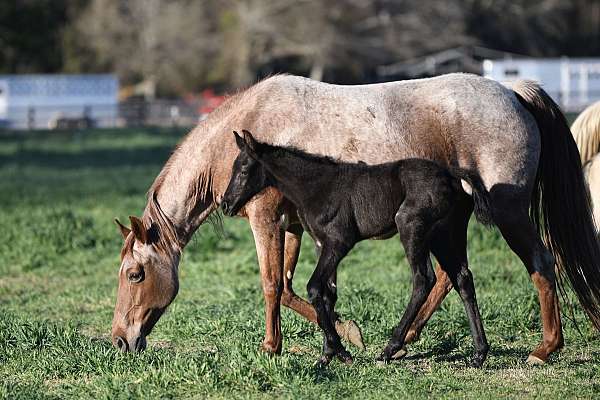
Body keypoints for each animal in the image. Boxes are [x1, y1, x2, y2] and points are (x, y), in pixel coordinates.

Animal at [223, 130, 494, 366]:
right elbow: (328, 294)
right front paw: (327, 354)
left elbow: (314, 288)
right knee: (462, 278)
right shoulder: (322, 244)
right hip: (444, 235)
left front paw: (341, 352)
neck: (317, 187)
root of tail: (452, 175)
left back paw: (390, 349)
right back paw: (479, 353)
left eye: (244, 169)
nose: (226, 204)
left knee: (423, 279)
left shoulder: (339, 242)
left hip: (411, 226)